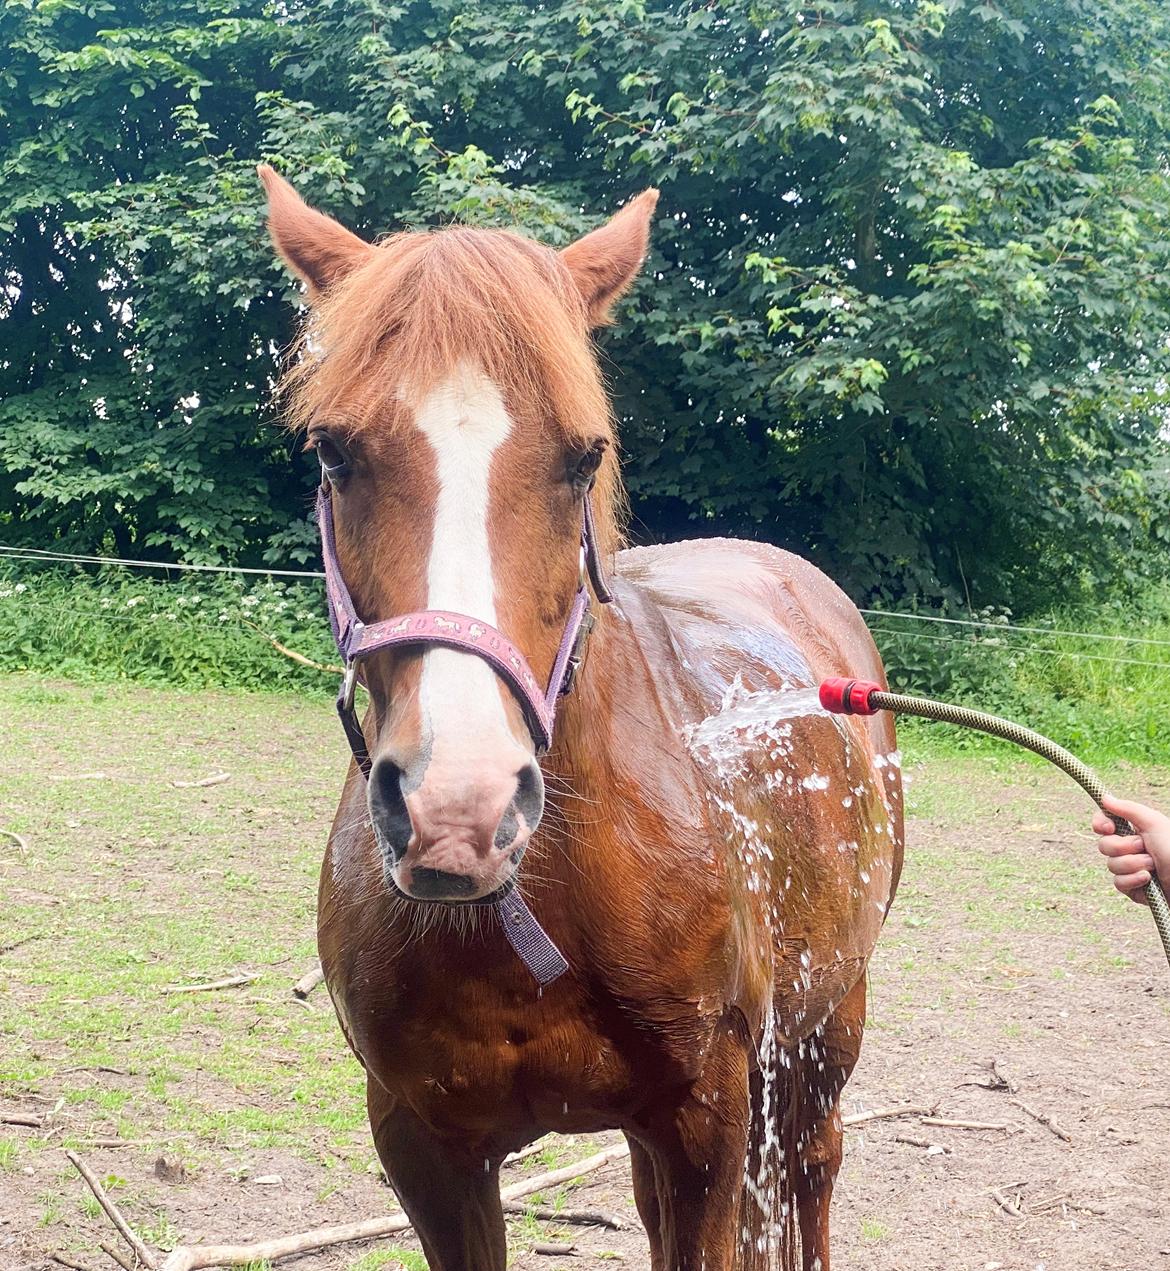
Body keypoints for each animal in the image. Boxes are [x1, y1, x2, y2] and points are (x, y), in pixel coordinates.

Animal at [257, 169, 904, 1271]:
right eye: (334, 454)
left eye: (582, 455)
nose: (459, 809)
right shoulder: (423, 1145)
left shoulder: (708, 1119)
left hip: (824, 1031)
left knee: (813, 1174)